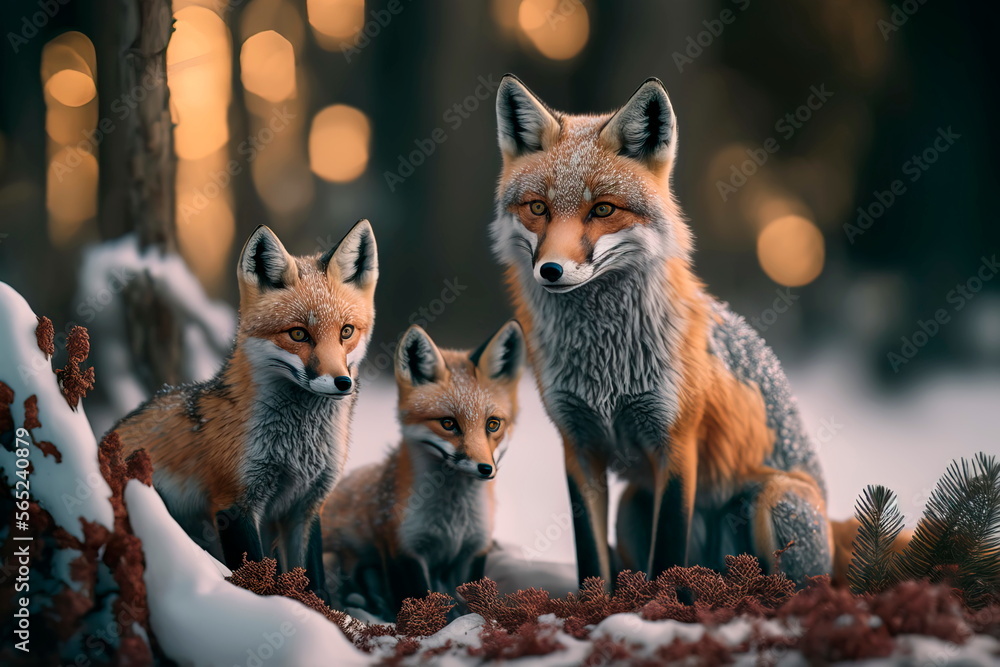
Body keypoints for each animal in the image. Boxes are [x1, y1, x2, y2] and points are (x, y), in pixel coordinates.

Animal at [114, 220, 378, 593]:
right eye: (298, 334)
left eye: (346, 332)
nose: (342, 383)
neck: (297, 451)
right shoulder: (234, 504)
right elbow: (255, 578)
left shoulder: (305, 507)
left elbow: (314, 585)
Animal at [321, 321, 525, 619]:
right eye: (448, 423)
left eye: (493, 424)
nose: (485, 469)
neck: (452, 523)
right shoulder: (403, 549)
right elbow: (420, 602)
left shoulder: (474, 550)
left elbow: (473, 606)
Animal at [489, 74, 833, 586]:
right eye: (538, 208)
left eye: (602, 210)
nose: (550, 271)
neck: (606, 366)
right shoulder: (578, 445)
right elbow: (592, 562)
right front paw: (598, 603)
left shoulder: (675, 444)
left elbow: (667, 557)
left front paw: (658, 604)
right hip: (634, 504)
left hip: (776, 501)